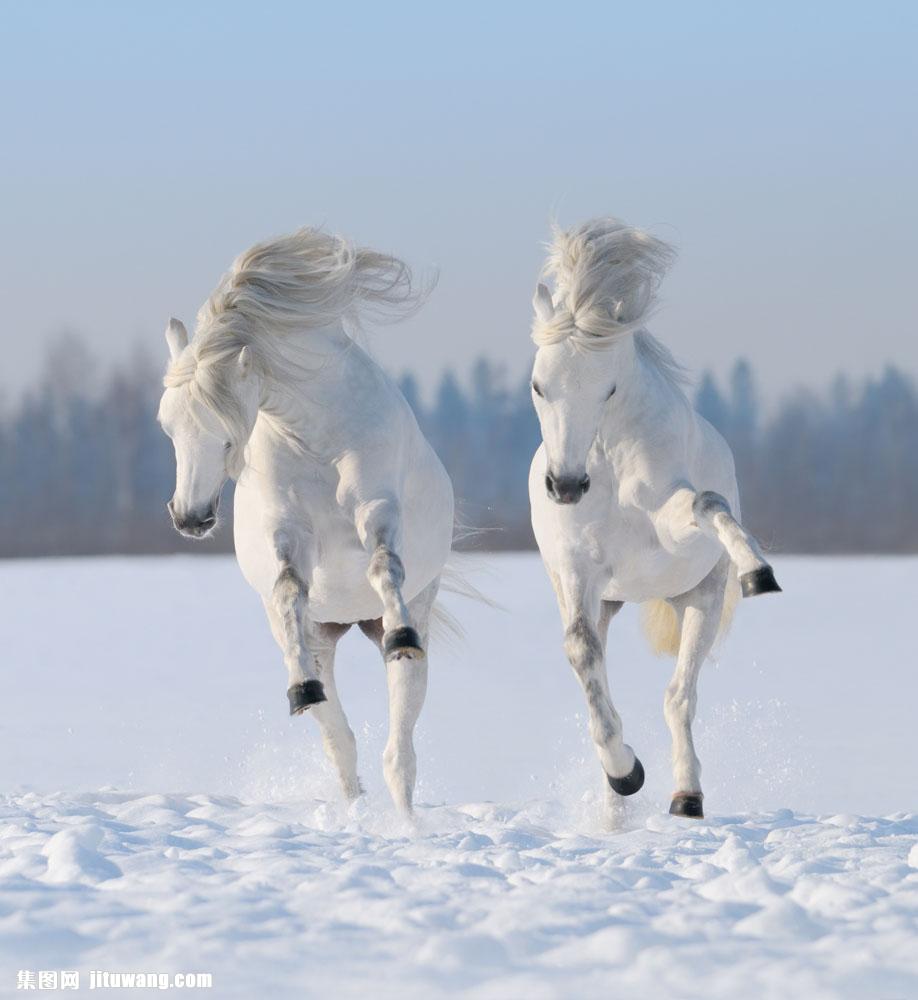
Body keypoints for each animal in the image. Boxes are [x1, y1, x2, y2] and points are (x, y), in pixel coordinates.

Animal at [163, 227, 460, 812]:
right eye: (168, 427)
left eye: (225, 433)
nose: (189, 517)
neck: (317, 437)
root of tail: (351, 621)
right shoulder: (289, 534)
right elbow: (287, 591)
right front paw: (300, 688)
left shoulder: (377, 509)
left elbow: (384, 565)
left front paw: (401, 633)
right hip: (323, 636)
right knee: (341, 745)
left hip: (408, 621)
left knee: (399, 754)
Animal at [528, 215, 780, 816]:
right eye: (539, 385)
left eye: (609, 387)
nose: (565, 485)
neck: (607, 461)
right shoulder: (578, 569)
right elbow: (581, 653)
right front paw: (625, 774)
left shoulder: (670, 524)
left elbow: (707, 503)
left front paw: (759, 572)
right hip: (607, 599)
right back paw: (616, 807)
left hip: (699, 600)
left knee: (679, 697)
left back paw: (687, 796)